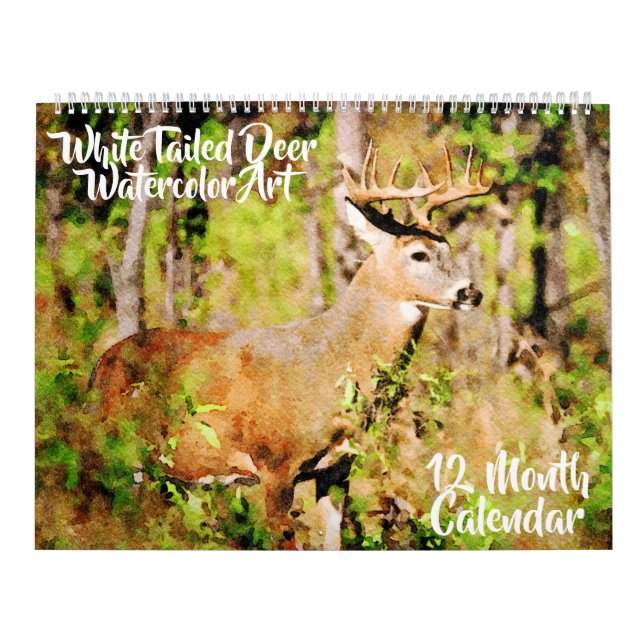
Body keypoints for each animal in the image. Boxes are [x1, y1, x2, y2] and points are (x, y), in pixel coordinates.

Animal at [89, 140, 491, 549]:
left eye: (449, 250)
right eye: (418, 254)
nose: (471, 293)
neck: (331, 366)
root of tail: (102, 363)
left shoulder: (337, 468)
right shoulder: (274, 462)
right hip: (118, 444)